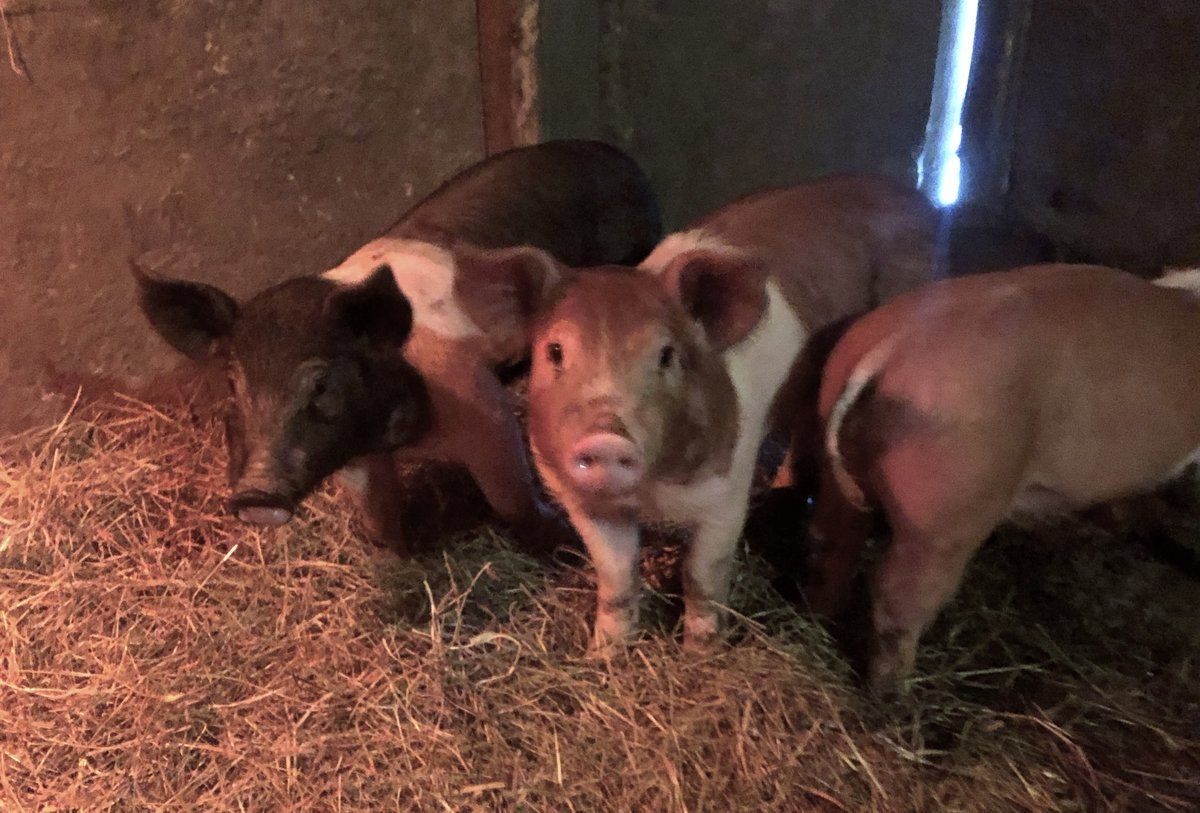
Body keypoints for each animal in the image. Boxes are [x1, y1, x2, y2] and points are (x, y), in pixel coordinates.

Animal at [134, 139, 662, 552]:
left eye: (321, 383)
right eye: (231, 382)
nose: (255, 495)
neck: (396, 433)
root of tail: (619, 156)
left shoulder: (478, 402)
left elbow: (510, 497)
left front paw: (560, 539)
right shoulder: (358, 456)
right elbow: (378, 516)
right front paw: (396, 551)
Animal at [454, 175, 939, 649]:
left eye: (667, 355)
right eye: (554, 351)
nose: (607, 438)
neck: (650, 494)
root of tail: (913, 198)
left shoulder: (726, 492)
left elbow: (701, 576)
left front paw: (701, 653)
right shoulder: (582, 502)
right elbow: (616, 578)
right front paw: (604, 654)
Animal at [809, 263, 1200, 694]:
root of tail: (893, 344)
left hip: (835, 455)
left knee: (830, 541)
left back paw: (823, 616)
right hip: (947, 511)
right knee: (899, 595)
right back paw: (894, 692)